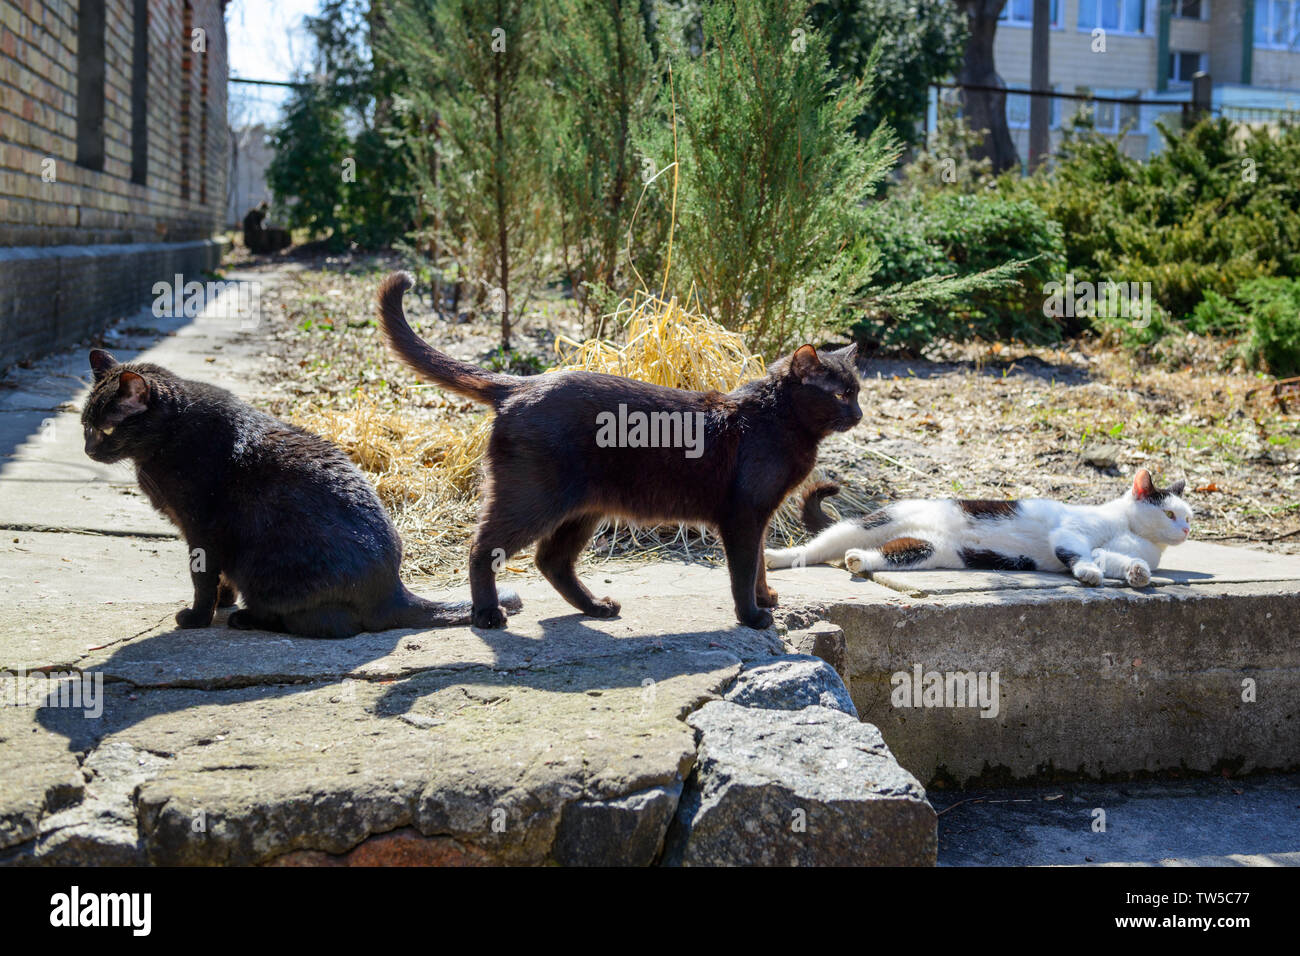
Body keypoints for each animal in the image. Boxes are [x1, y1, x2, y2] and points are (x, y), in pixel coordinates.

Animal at [78, 348, 517, 634]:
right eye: (85, 425)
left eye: (106, 429)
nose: (87, 449)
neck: (170, 431)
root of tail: (394, 593)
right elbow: (218, 580)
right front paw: (222, 601)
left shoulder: (201, 530)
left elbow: (202, 577)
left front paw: (199, 617)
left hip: (264, 567)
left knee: (324, 625)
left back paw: (247, 619)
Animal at [377, 270, 863, 629]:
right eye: (841, 395)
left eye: (857, 392)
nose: (859, 414)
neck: (775, 418)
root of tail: (521, 383)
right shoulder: (743, 514)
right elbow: (744, 569)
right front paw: (752, 615)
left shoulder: (759, 516)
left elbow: (760, 561)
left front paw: (767, 598)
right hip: (532, 501)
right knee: (482, 549)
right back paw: (486, 614)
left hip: (582, 509)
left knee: (551, 560)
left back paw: (595, 608)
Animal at [764, 470, 1190, 590]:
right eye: (1170, 513)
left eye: (1189, 516)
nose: (1186, 530)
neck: (1131, 529)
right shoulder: (1071, 534)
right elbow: (1080, 554)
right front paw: (1087, 574)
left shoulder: (1110, 550)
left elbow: (1115, 560)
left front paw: (1137, 573)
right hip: (868, 523)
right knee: (814, 548)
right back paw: (773, 557)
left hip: (922, 550)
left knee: (880, 553)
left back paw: (857, 561)